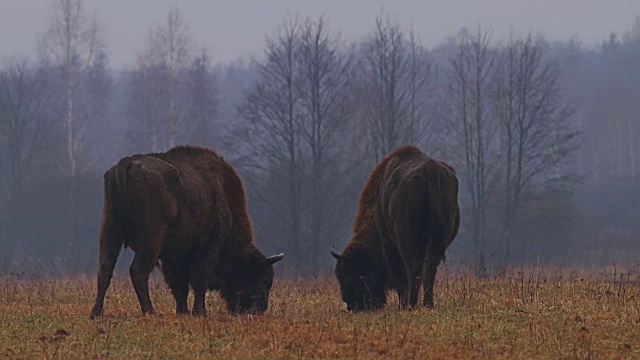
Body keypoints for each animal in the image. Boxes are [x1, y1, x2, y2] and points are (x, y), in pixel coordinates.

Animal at [89, 145, 284, 320]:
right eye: (264, 280)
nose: (259, 309)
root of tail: (127, 162)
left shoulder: (172, 256)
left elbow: (179, 284)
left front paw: (182, 311)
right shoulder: (207, 247)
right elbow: (199, 279)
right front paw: (200, 312)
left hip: (110, 231)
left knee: (105, 269)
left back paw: (96, 313)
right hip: (151, 240)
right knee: (138, 270)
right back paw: (150, 311)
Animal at [330, 145, 460, 310]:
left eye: (347, 274)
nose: (350, 304)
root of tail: (430, 168)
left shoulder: (389, 244)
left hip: (407, 240)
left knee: (413, 267)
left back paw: (410, 304)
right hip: (439, 238)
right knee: (429, 266)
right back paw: (427, 304)